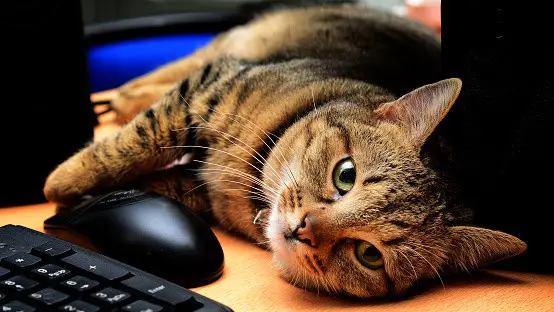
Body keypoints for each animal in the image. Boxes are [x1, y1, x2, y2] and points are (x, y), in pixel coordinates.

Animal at [43, 4, 520, 298]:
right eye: (345, 175)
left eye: (369, 255)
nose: (303, 228)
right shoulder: (209, 89)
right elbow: (138, 139)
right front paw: (58, 182)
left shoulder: (195, 187)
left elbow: (153, 175)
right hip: (235, 47)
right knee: (159, 76)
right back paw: (123, 101)